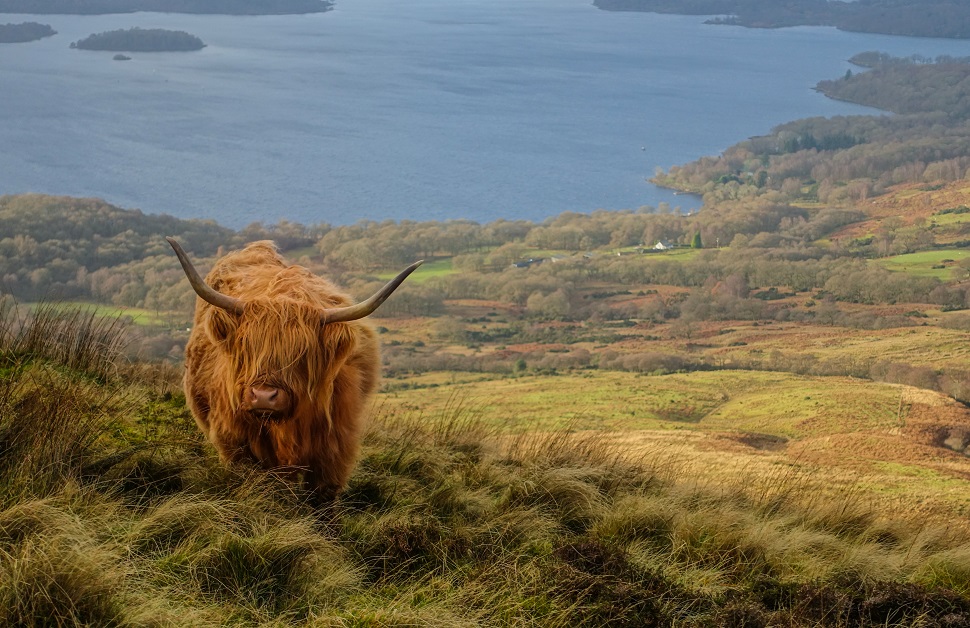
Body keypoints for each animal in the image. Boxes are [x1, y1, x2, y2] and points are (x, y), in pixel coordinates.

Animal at [168, 238, 418, 502]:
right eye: (247, 344)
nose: (264, 397)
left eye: (303, 353)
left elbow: (322, 497)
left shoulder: (334, 448)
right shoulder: (236, 441)